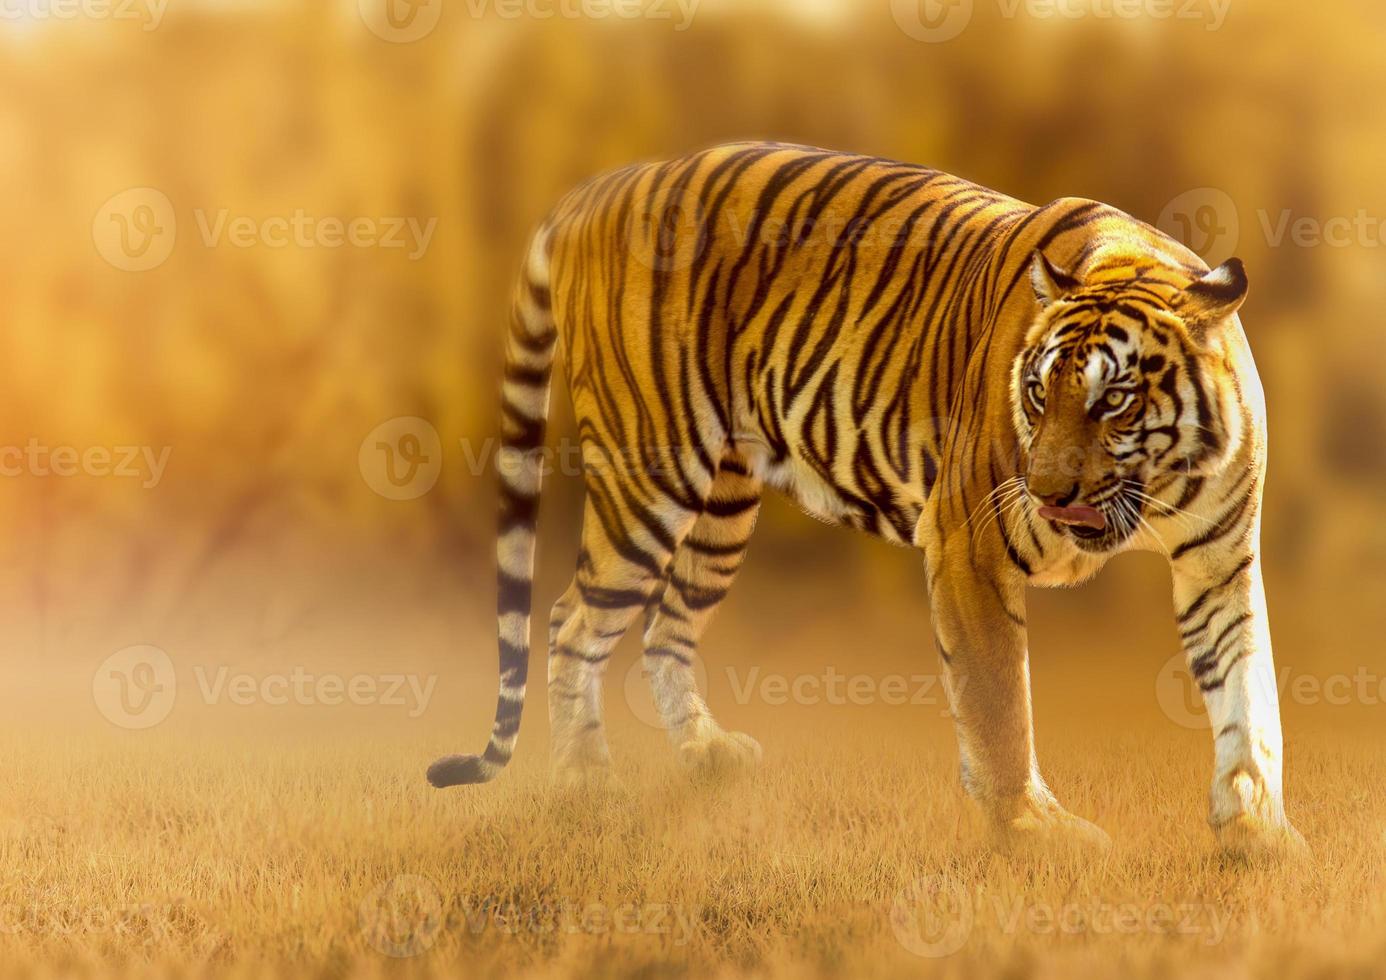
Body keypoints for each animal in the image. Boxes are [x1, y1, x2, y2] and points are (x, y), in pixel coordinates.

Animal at [426, 142, 1302, 853]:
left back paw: (707, 754)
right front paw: (1030, 827)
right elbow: (999, 702)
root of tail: (602, 187)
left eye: (1112, 400)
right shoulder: (968, 543)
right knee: (573, 619)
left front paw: (1259, 830)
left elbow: (1250, 693)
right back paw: (587, 785)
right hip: (651, 477)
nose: (1049, 492)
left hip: (721, 510)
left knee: (666, 623)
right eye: (1037, 392)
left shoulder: (1221, 564)